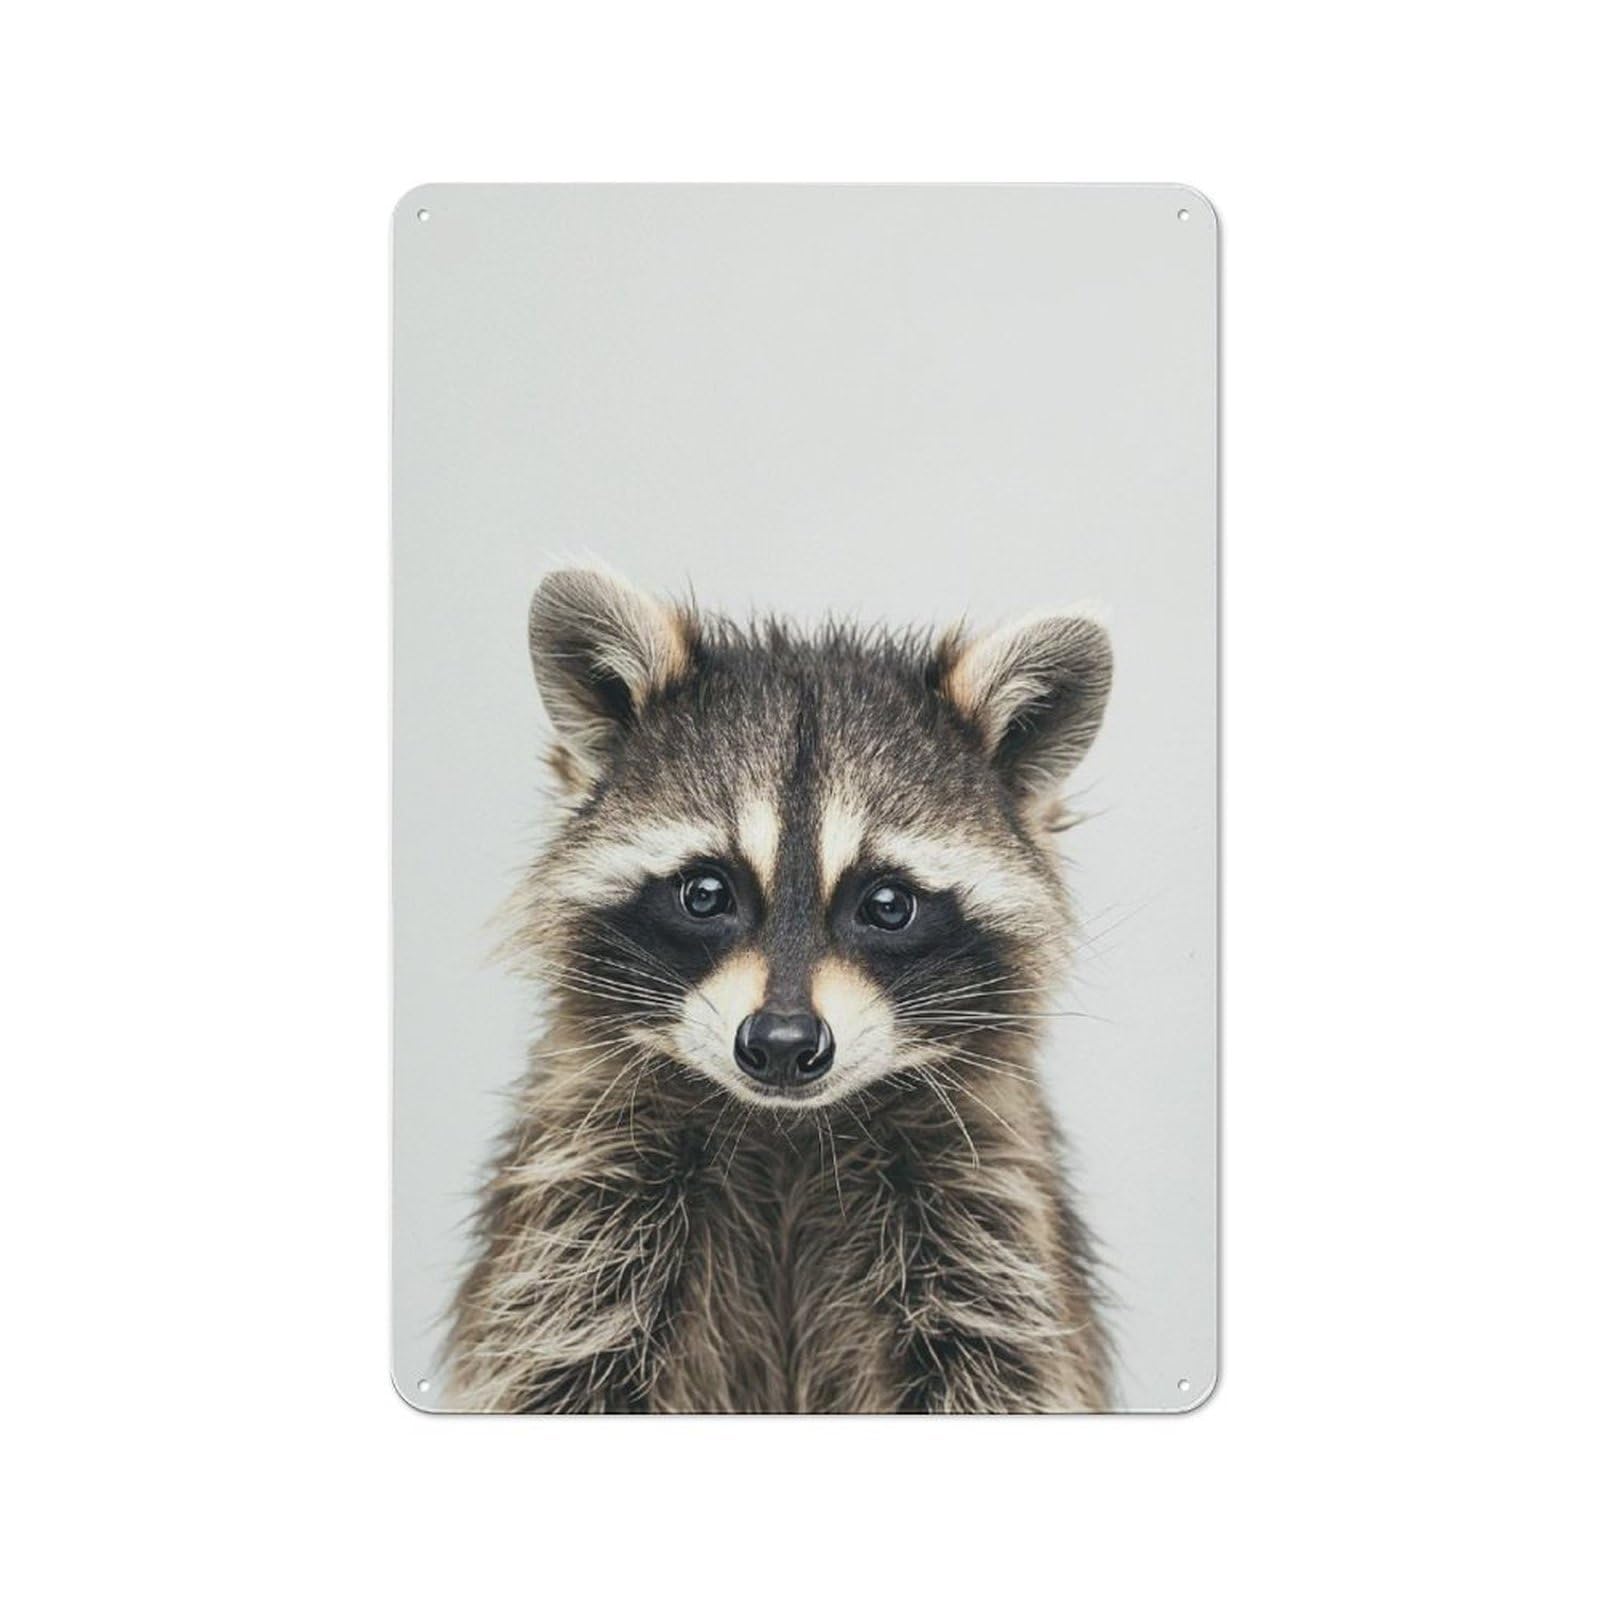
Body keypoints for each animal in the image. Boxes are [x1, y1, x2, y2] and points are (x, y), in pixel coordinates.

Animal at [445, 567, 1115, 1412]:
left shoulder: (985, 1209)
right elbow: (558, 1360)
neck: (789, 1132)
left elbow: (999, 1365)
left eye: (887, 905)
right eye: (705, 893)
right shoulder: (582, 1199)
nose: (783, 1044)